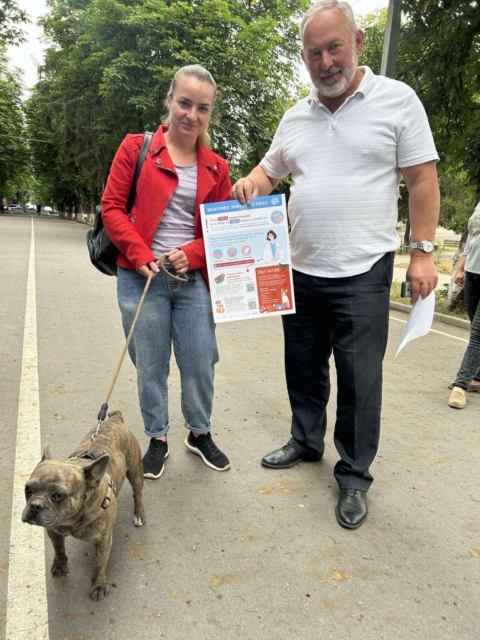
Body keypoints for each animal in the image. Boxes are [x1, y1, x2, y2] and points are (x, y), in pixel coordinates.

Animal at [22, 411, 146, 601]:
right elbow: (59, 549)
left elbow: (100, 564)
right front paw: (60, 565)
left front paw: (99, 585)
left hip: (135, 471)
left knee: (137, 493)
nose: (35, 506)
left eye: (57, 495)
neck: (71, 520)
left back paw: (139, 514)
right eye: (27, 489)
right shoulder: (53, 531)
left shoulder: (104, 539)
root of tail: (115, 418)